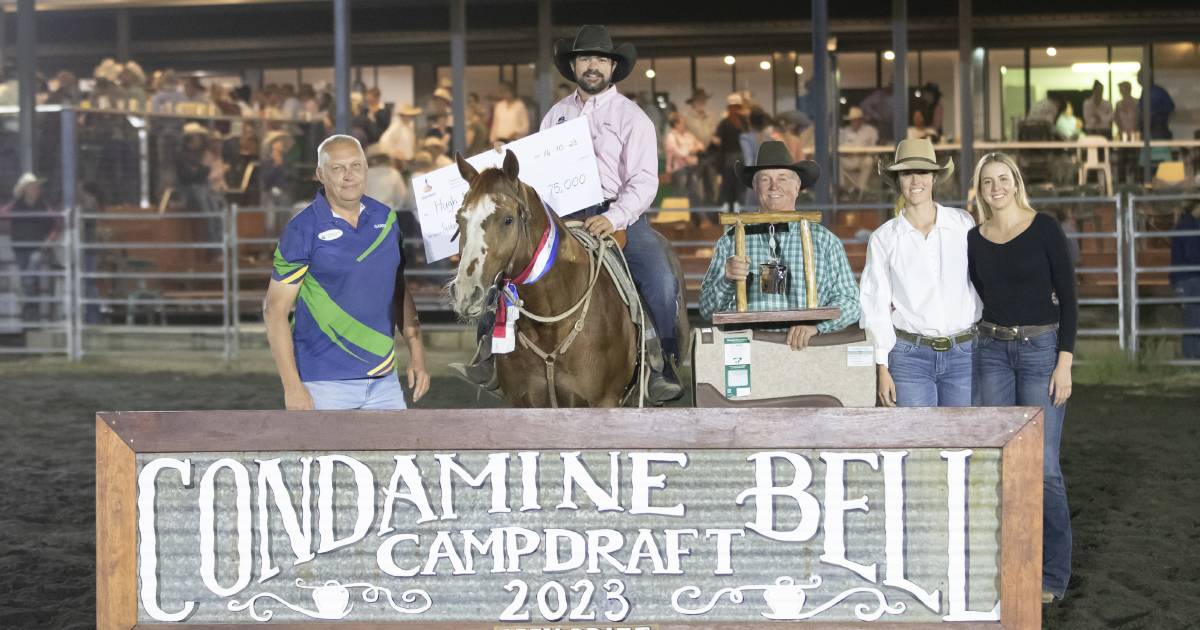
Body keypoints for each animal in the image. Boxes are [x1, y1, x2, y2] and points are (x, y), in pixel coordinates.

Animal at [446, 151, 672, 408]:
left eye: (508, 219)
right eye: (459, 219)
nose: (465, 293)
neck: (550, 323)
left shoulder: (604, 401)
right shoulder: (521, 400)